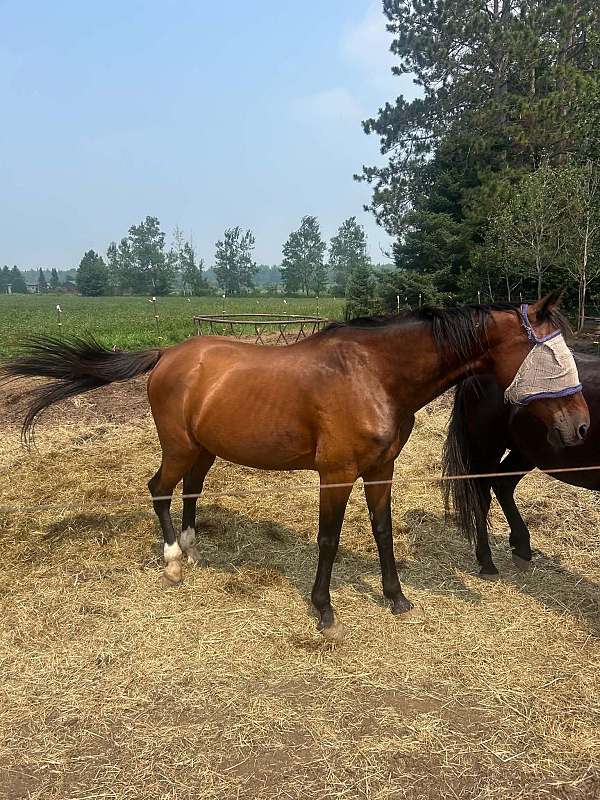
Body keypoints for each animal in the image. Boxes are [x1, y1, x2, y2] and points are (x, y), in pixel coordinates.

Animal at [442, 352, 600, 579]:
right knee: (482, 496)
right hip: (488, 447)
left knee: (503, 484)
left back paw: (522, 549)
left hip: (525, 452)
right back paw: (487, 562)